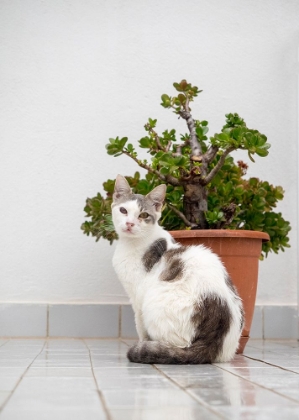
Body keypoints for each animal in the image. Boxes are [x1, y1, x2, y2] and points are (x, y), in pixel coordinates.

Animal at [111, 174, 245, 364]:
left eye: (144, 215)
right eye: (123, 210)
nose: (129, 223)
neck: (133, 243)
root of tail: (213, 343)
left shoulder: (138, 298)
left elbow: (140, 327)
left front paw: (143, 343)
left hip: (154, 304)